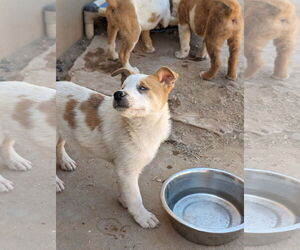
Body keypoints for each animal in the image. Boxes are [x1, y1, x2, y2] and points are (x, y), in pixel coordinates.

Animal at [56, 66, 178, 229]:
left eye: (143, 88)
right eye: (122, 87)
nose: (117, 94)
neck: (138, 125)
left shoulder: (126, 169)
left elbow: (126, 189)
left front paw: (124, 200)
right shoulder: (128, 170)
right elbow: (135, 196)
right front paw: (142, 216)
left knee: (59, 145)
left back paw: (65, 161)